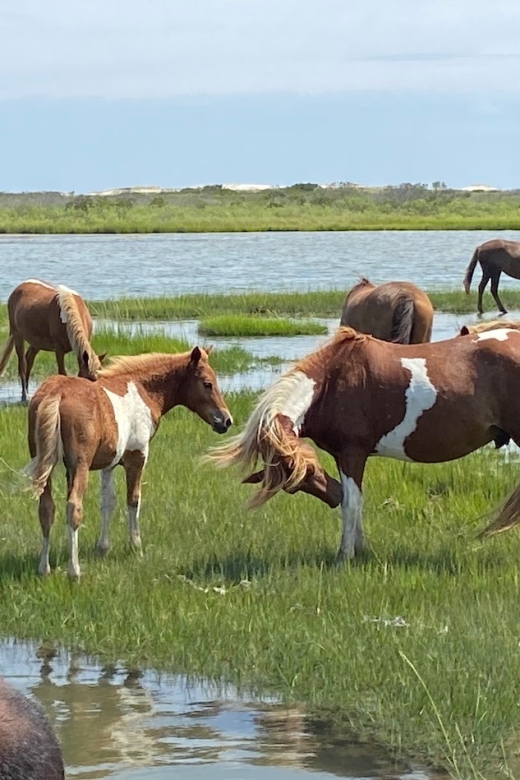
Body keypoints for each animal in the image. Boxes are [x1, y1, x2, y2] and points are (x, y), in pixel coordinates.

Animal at [23, 348, 232, 580]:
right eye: (207, 383)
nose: (226, 420)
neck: (143, 391)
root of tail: (57, 394)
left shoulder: (108, 464)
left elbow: (107, 501)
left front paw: (103, 548)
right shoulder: (137, 456)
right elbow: (133, 499)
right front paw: (136, 546)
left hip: (45, 465)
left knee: (46, 509)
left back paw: (44, 568)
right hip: (80, 466)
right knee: (73, 507)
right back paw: (74, 571)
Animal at [208, 326, 520, 564]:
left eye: (310, 471)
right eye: (295, 485)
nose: (331, 495)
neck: (332, 380)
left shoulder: (352, 454)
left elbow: (352, 503)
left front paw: (344, 556)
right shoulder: (344, 456)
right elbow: (356, 502)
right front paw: (360, 551)